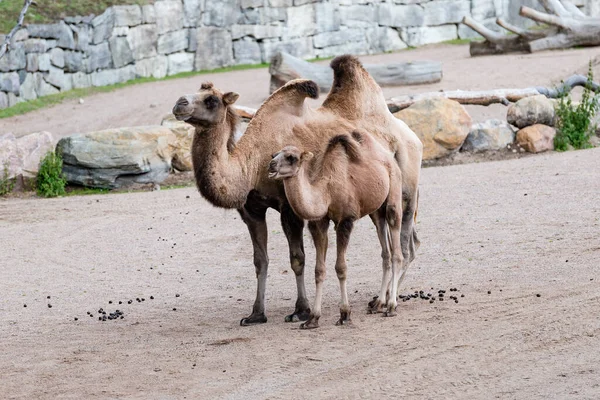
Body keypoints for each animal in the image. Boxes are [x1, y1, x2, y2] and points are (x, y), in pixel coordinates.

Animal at [270, 131, 404, 328]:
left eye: (291, 157)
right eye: (274, 154)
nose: (271, 165)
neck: (327, 192)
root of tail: (388, 156)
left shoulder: (345, 221)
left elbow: (341, 268)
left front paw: (345, 314)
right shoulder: (319, 223)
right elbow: (319, 270)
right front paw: (312, 318)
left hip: (394, 190)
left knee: (396, 249)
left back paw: (392, 306)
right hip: (376, 210)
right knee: (385, 251)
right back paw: (378, 304)